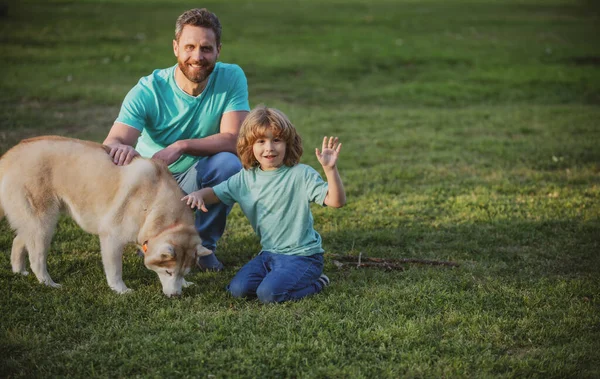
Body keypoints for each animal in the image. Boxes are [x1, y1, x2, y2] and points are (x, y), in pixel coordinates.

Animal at [0, 137, 211, 296]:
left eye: (182, 272)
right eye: (167, 271)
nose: (176, 296)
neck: (154, 206)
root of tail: (10, 153)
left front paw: (186, 283)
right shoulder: (111, 238)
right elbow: (115, 270)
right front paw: (121, 290)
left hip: (36, 221)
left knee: (19, 240)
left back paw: (19, 271)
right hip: (44, 223)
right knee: (36, 258)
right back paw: (48, 283)